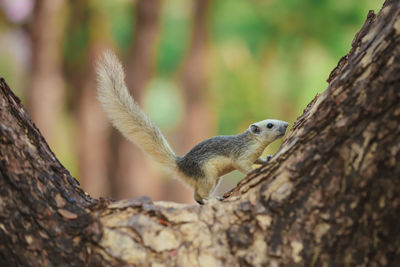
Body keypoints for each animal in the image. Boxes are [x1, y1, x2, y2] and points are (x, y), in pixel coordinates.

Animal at [96, 51, 288, 204]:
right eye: (269, 125)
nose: (286, 124)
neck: (254, 141)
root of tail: (180, 166)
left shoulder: (252, 154)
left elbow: (258, 159)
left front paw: (267, 159)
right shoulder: (242, 154)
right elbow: (244, 166)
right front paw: (256, 171)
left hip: (211, 179)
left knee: (195, 195)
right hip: (207, 176)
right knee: (201, 194)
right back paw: (212, 200)